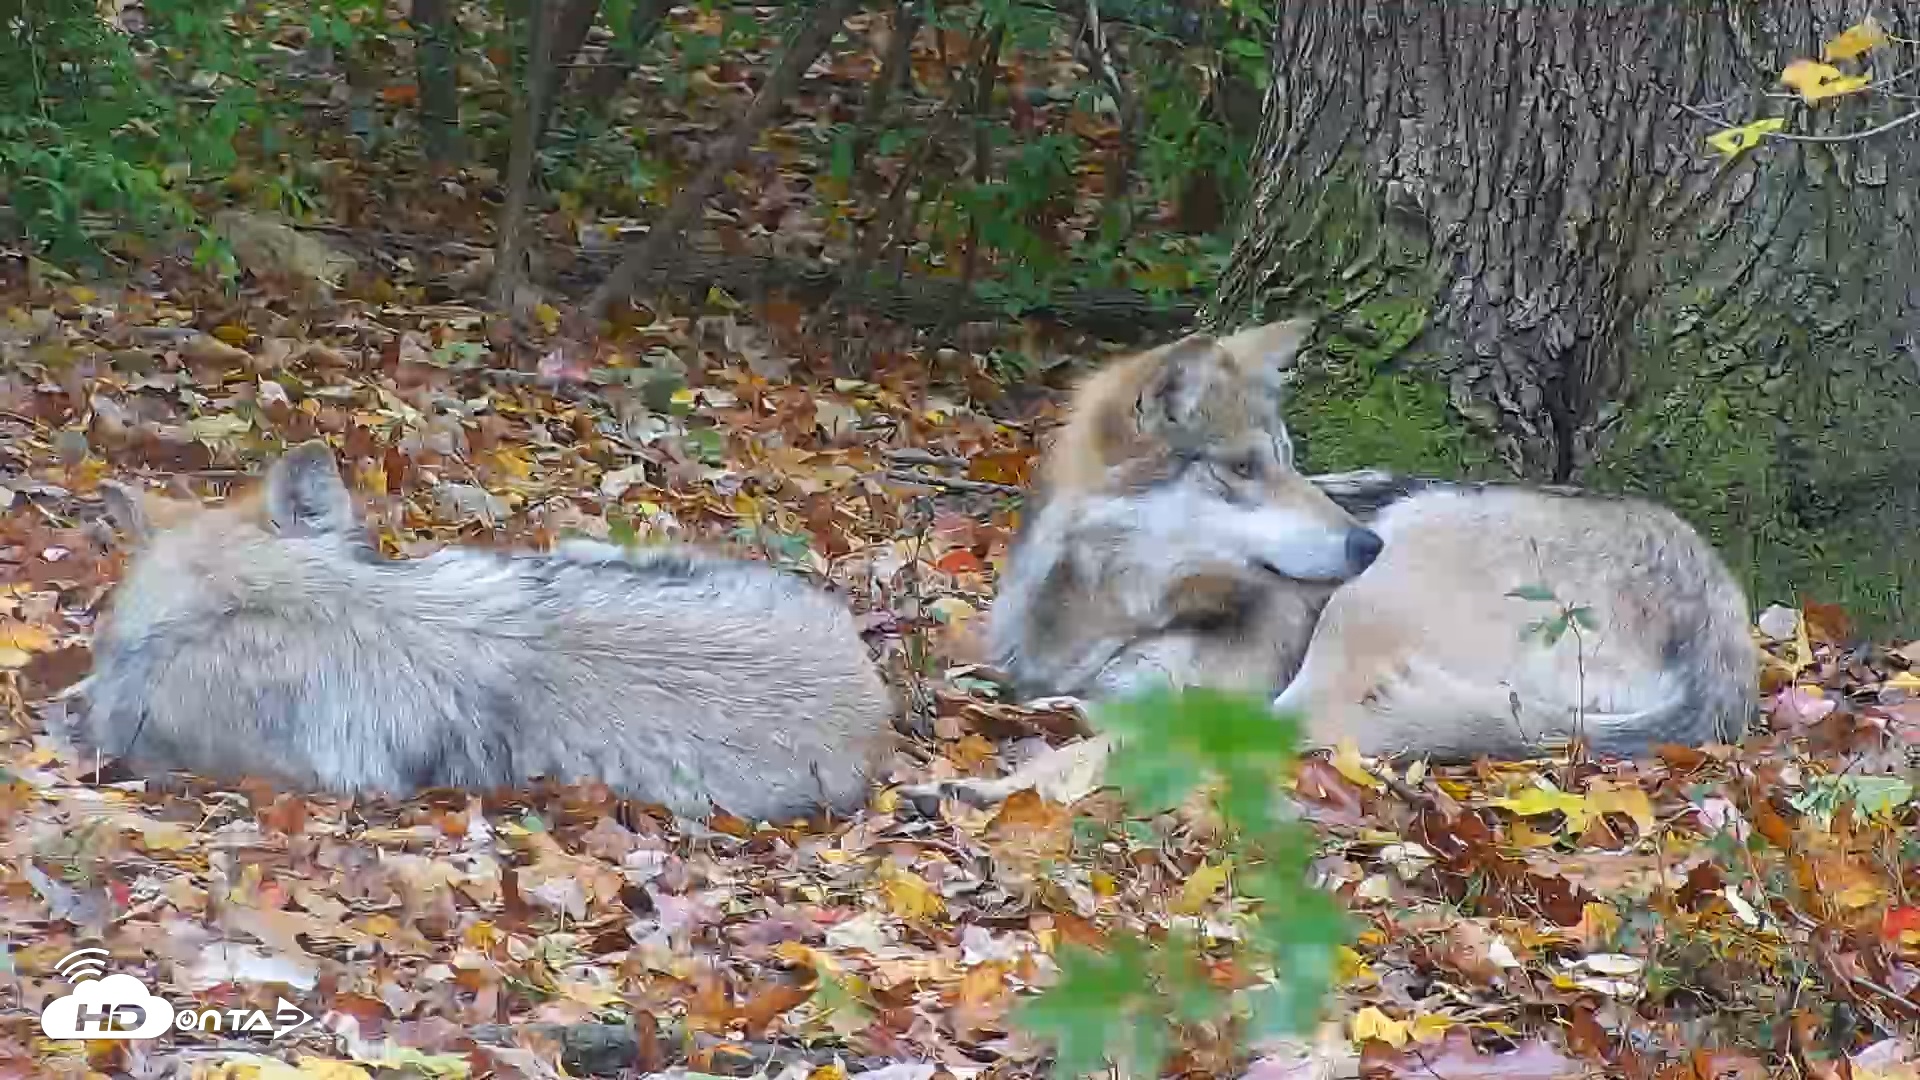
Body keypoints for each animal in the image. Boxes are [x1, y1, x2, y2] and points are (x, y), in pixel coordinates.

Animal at [976, 319, 1755, 779]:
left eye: (1290, 462)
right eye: (1244, 468)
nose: (1364, 540)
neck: (1107, 610)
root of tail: (1723, 638)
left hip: (1385, 574)